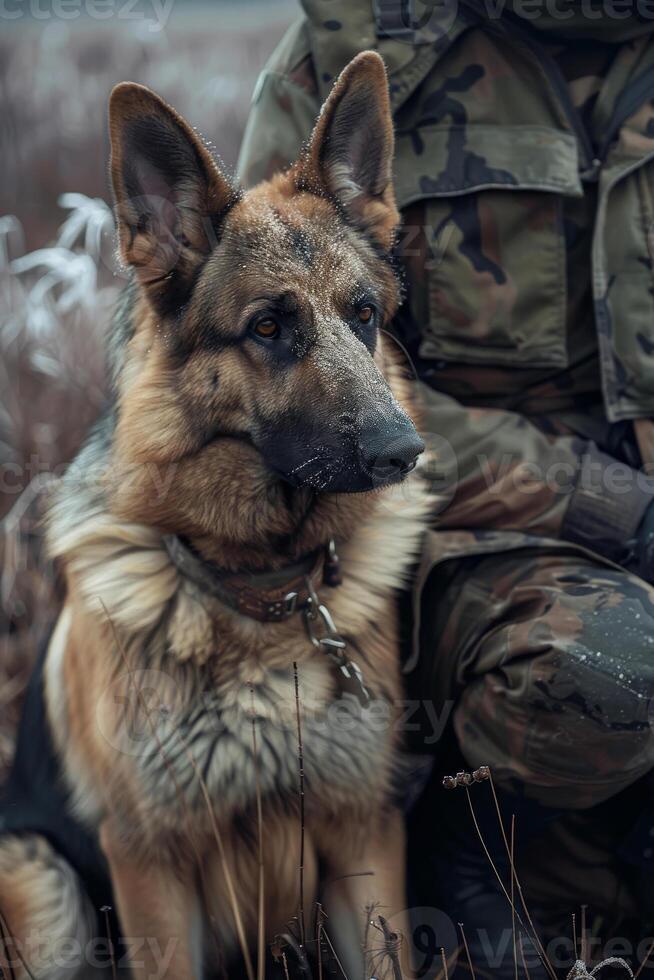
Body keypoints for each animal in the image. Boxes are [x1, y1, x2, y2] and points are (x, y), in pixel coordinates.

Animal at [0, 53, 430, 980]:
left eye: (364, 315)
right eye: (268, 327)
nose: (403, 451)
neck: (260, 591)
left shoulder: (364, 837)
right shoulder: (149, 861)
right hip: (43, 890)